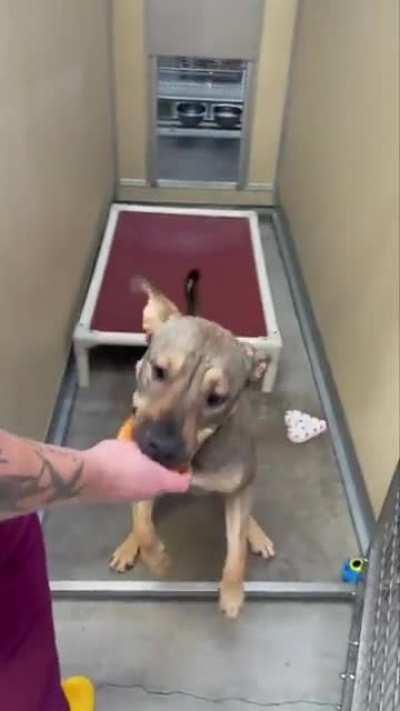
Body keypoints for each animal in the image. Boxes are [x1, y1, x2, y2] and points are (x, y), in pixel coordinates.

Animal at [109, 276, 276, 616]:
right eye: (159, 371)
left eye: (216, 398)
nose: (159, 446)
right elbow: (143, 526)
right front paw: (157, 558)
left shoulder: (240, 487)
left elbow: (236, 549)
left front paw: (232, 592)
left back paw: (255, 532)